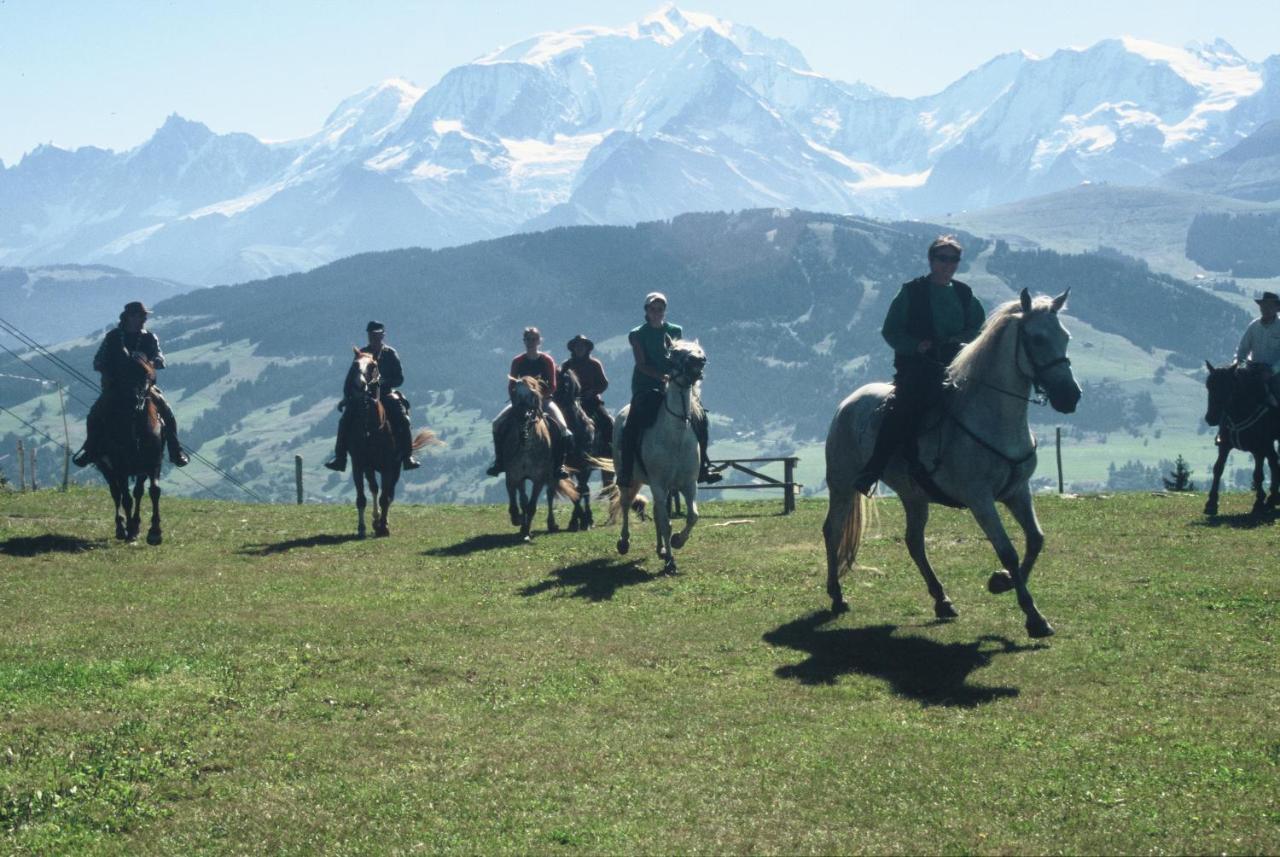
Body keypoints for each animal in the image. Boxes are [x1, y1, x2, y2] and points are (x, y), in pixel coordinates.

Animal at [340, 347, 440, 537]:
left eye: (373, 365)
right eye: (354, 365)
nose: (359, 385)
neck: (370, 427)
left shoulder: (389, 466)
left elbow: (385, 498)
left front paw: (384, 527)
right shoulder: (359, 465)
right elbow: (362, 498)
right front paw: (362, 527)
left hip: (396, 467)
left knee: (389, 493)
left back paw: (382, 522)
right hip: (370, 468)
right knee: (374, 488)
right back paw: (375, 520)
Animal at [606, 340, 706, 573]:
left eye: (699, 351)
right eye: (675, 352)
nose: (698, 361)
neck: (676, 436)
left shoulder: (689, 484)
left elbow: (692, 516)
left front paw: (677, 542)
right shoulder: (659, 484)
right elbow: (667, 523)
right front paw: (671, 562)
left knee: (657, 513)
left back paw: (661, 548)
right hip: (628, 479)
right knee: (626, 504)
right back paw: (624, 543)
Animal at [824, 291, 1085, 642]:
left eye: (1065, 337)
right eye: (1037, 338)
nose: (1070, 396)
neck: (991, 416)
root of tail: (847, 402)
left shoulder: (1018, 492)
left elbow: (1035, 539)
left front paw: (1002, 581)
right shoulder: (980, 499)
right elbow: (1008, 550)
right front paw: (1034, 617)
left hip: (914, 496)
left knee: (914, 542)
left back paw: (942, 600)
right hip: (841, 485)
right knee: (832, 531)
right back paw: (837, 596)